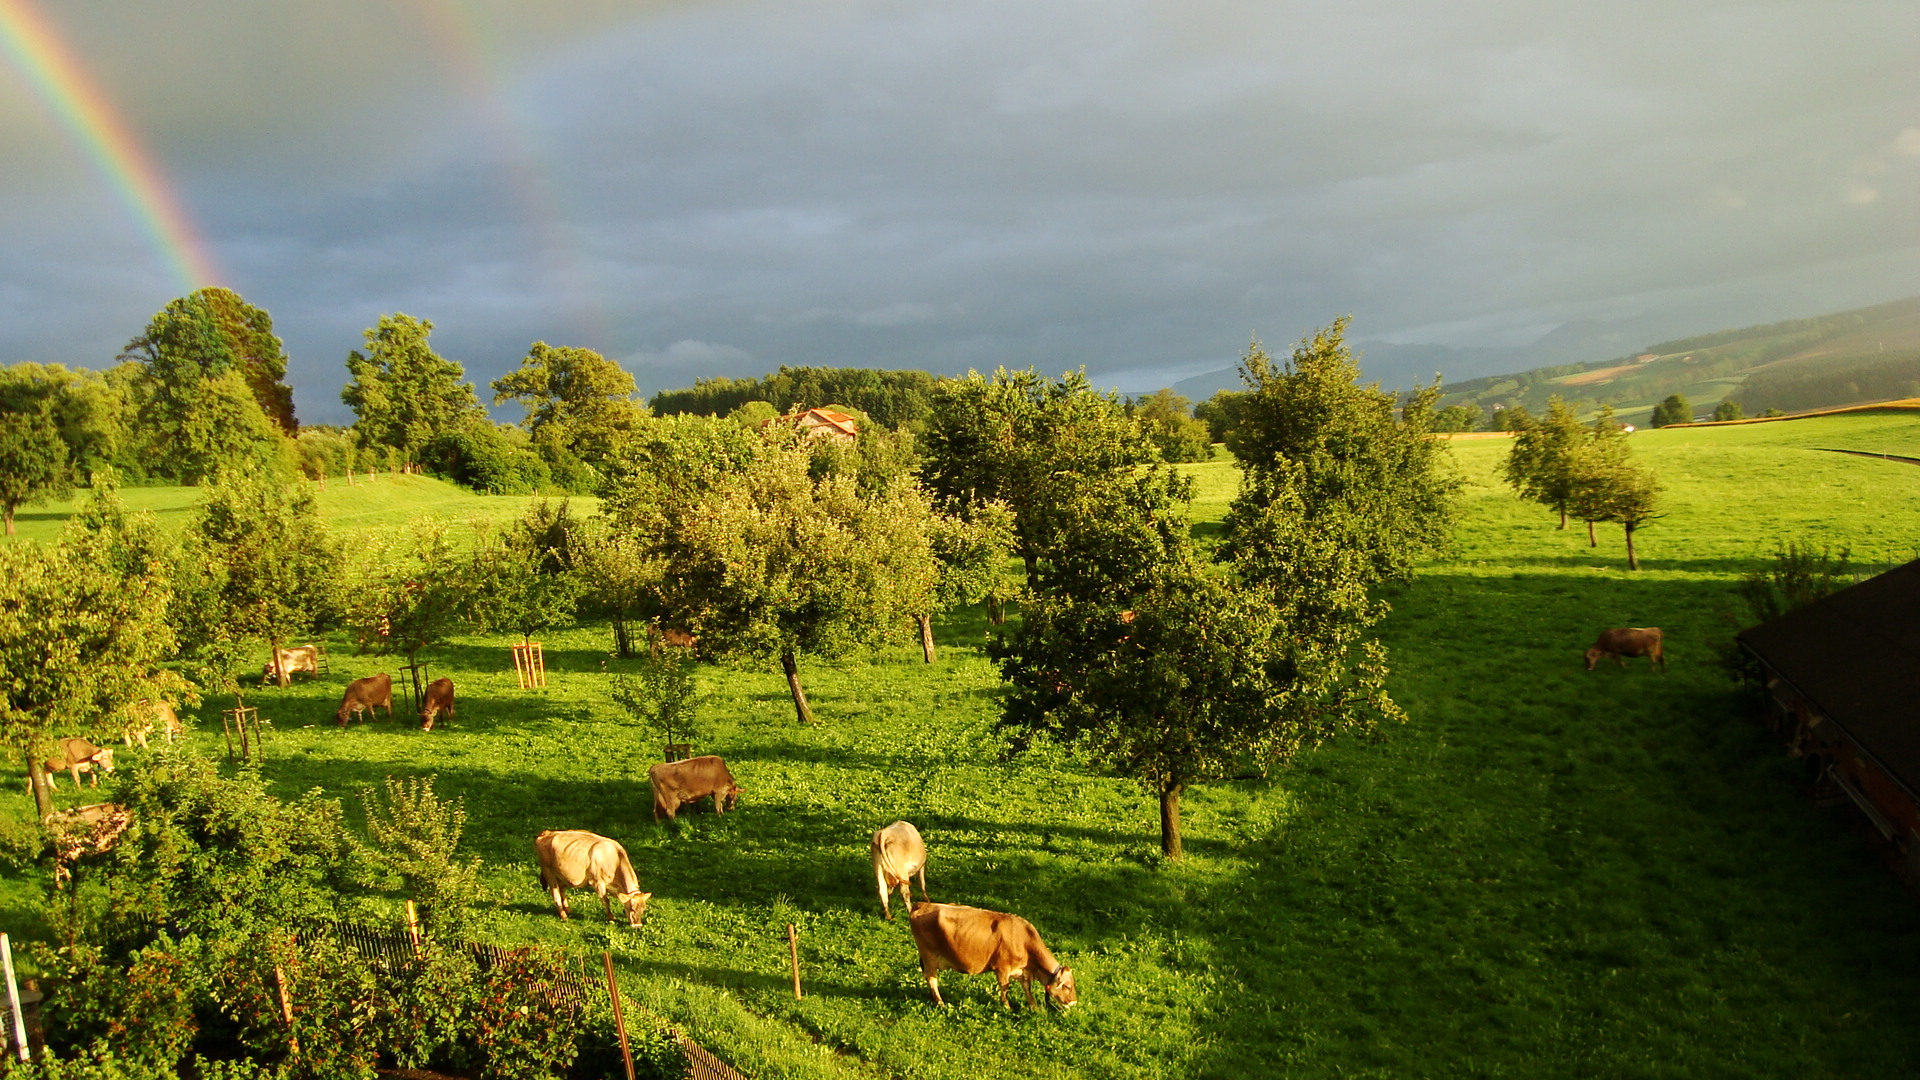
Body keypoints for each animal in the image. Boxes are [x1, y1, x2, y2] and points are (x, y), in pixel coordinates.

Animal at [902, 895, 1075, 1006]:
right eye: (1067, 986)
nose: (1073, 1002)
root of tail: (923, 905)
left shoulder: (1022, 971)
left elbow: (1027, 988)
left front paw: (1034, 1007)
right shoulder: (1002, 968)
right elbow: (1004, 988)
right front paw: (1007, 1007)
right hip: (929, 955)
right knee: (931, 978)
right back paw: (940, 1003)